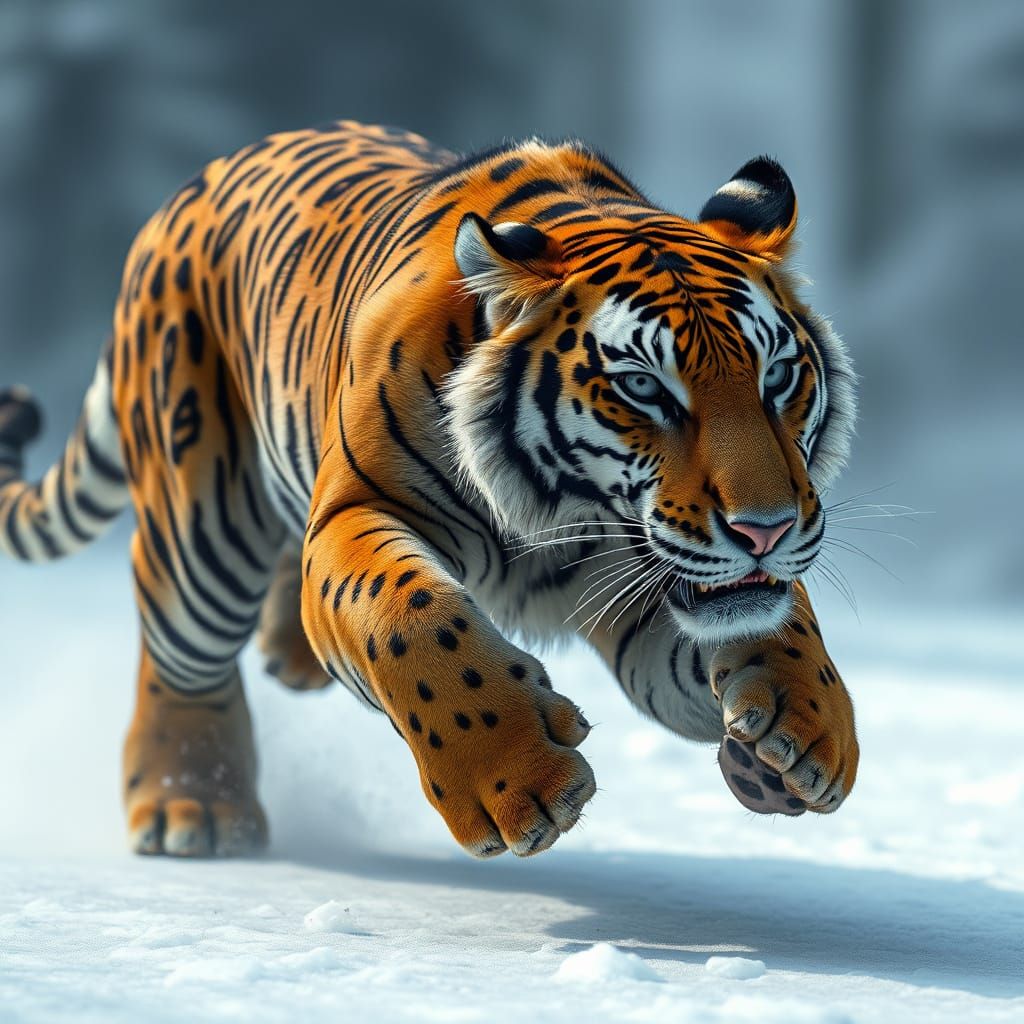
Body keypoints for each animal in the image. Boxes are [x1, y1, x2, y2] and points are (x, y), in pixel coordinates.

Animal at [0, 120, 858, 858]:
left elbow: (779, 616)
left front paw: (809, 731)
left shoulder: (649, 594)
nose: (766, 529)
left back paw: (282, 661)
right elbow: (409, 616)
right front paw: (521, 781)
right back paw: (194, 807)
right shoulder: (353, 512)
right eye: (644, 387)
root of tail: (192, 187)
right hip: (200, 522)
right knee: (180, 658)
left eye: (778, 376)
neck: (562, 506)